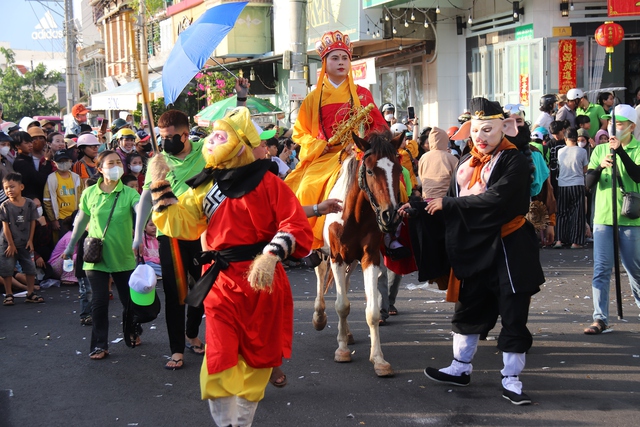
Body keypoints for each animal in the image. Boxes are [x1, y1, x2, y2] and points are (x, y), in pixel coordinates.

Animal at [312, 131, 402, 378]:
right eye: (370, 171)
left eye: (399, 169)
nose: (390, 215)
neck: (354, 214)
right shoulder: (336, 256)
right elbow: (342, 305)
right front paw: (341, 350)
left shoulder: (369, 257)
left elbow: (371, 312)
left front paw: (379, 360)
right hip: (325, 253)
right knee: (320, 274)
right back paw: (319, 317)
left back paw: (348, 333)